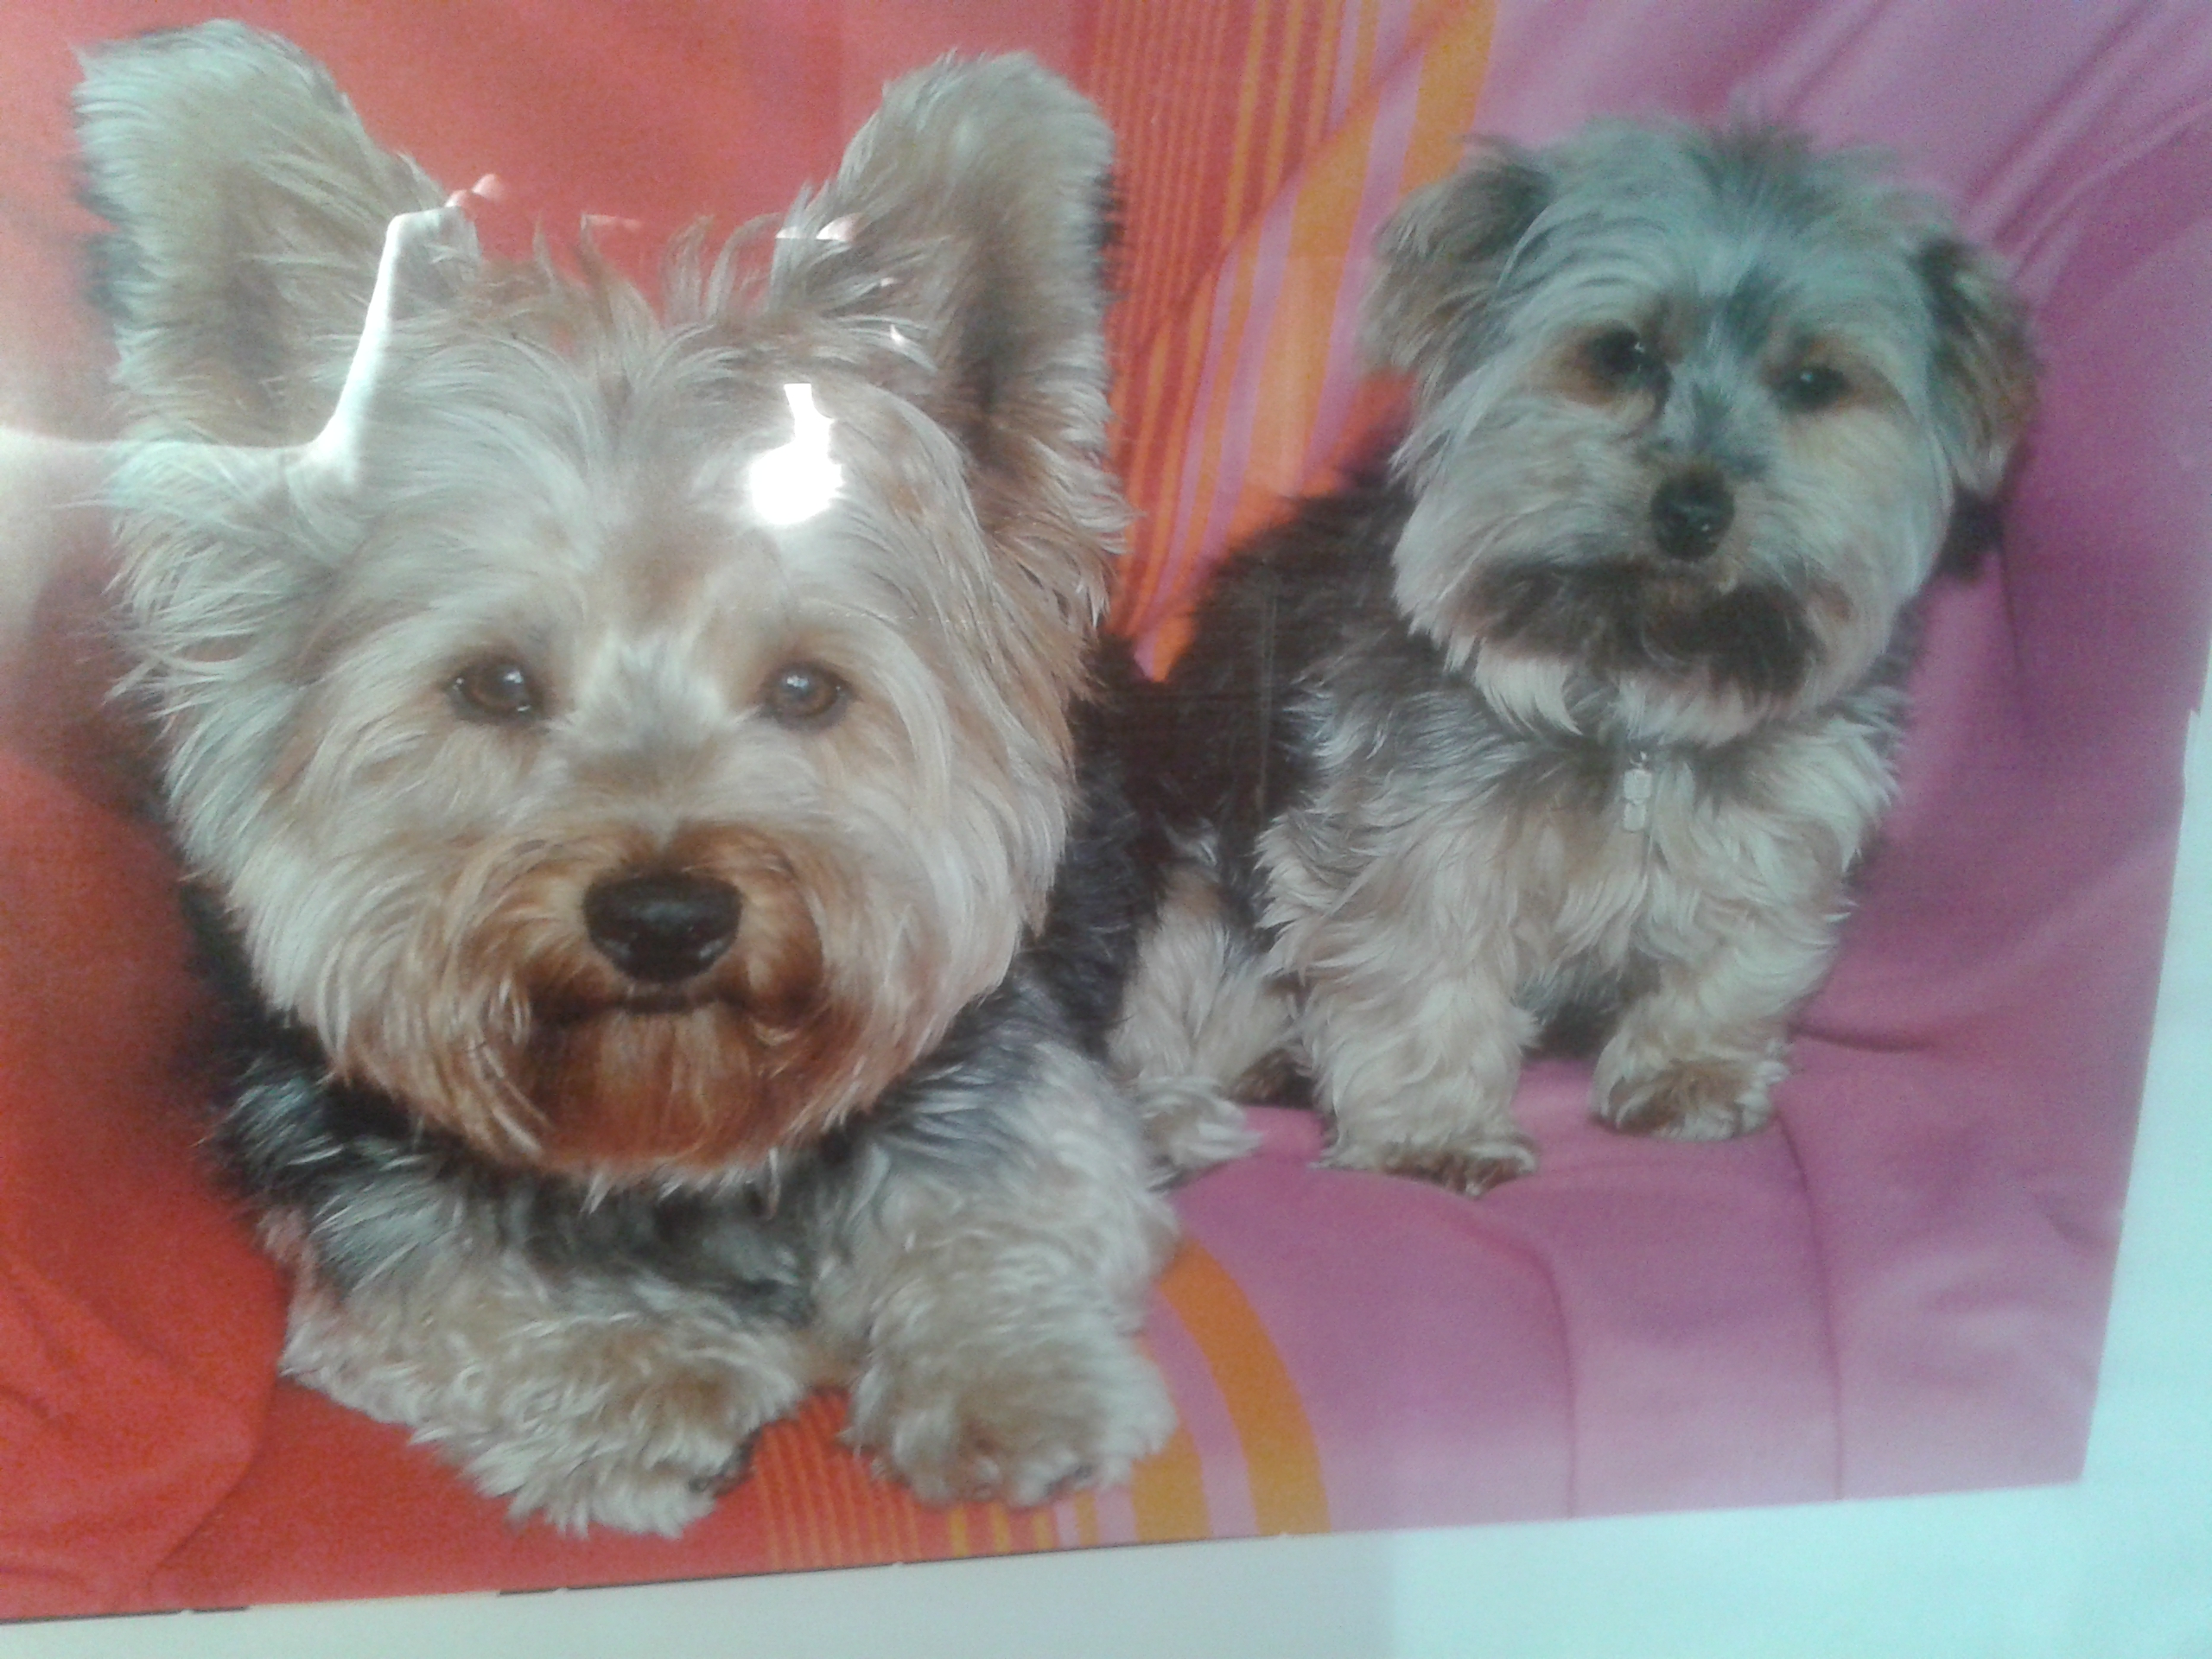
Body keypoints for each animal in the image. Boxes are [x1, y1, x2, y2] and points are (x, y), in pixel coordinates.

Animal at [80, 22, 1176, 1534]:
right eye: (493, 686)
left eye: (805, 689)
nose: (665, 918)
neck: (671, 1128)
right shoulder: (354, 1216)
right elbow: (446, 1303)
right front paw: (653, 1382)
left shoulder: (1019, 1097)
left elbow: (1004, 1208)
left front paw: (1008, 1374)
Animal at [1110, 121, 2035, 1194]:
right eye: (1620, 353)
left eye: (1814, 382)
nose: (1693, 507)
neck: (1637, 691)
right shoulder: (1409, 839)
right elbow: (1417, 969)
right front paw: (1435, 1132)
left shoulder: (1787, 813)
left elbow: (1743, 950)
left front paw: (1690, 1074)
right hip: (1183, 883)